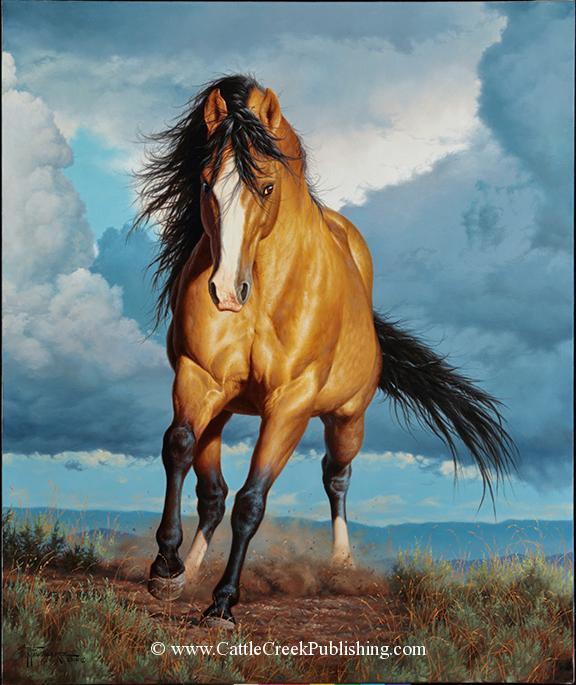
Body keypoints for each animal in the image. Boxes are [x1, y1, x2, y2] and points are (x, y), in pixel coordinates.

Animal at [135, 74, 516, 629]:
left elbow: (253, 500)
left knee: (336, 477)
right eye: (205, 183)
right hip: (222, 409)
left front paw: (223, 603)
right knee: (212, 493)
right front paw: (167, 568)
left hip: (346, 419)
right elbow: (179, 449)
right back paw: (194, 566)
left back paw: (341, 563)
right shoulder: (198, 378)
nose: (226, 292)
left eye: (266, 187)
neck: (267, 293)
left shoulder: (290, 405)